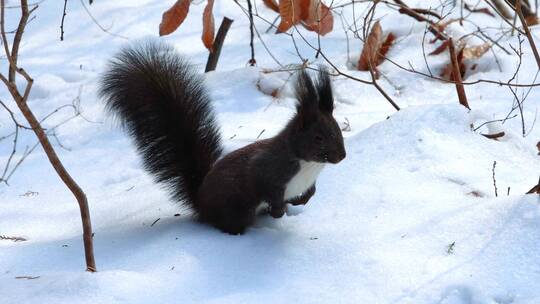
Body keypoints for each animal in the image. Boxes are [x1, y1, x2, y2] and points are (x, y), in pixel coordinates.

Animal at [99, 41, 346, 234]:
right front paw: (279, 211)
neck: (307, 164)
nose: (342, 156)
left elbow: (311, 192)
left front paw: (298, 201)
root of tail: (201, 204)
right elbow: (268, 190)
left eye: (338, 130)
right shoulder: (267, 171)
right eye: (318, 138)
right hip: (235, 207)